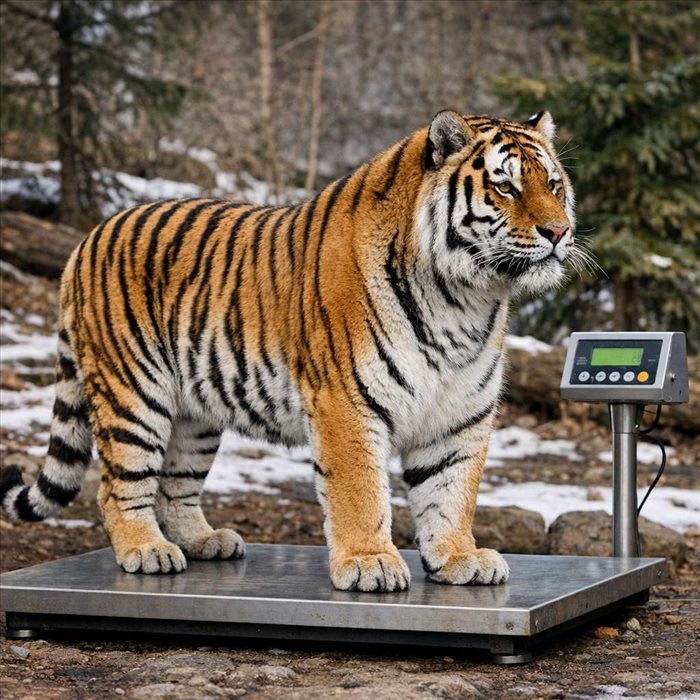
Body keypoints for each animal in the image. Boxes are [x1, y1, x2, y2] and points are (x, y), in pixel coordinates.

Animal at [0, 110, 575, 592]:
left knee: (174, 484)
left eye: (552, 184)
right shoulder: (347, 402)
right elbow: (360, 491)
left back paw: (203, 542)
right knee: (118, 485)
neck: (464, 301)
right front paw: (369, 562)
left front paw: (458, 558)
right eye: (505, 186)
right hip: (134, 393)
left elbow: (450, 493)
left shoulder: (459, 413)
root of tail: (88, 235)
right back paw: (147, 551)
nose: (559, 230)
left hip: (194, 414)